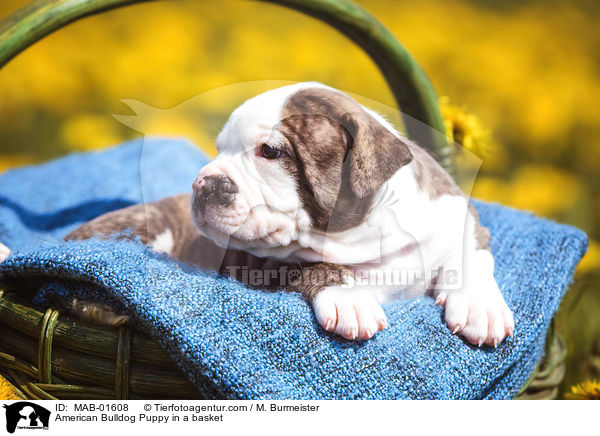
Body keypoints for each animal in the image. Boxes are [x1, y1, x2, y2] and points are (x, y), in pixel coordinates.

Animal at [2, 83, 512, 346]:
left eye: (270, 151)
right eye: (218, 149)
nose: (203, 183)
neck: (367, 233)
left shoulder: (460, 217)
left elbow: (473, 256)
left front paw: (481, 308)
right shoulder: (265, 265)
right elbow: (317, 268)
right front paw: (349, 296)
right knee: (84, 284)